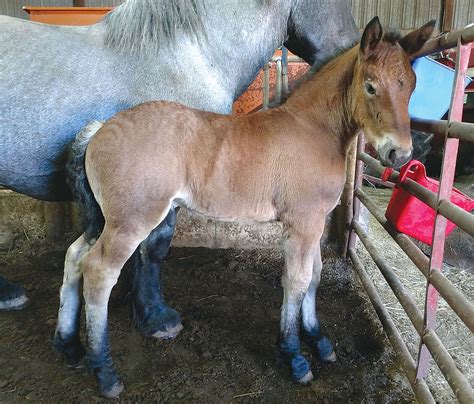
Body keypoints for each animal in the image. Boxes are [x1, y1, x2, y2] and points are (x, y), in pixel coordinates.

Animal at [55, 16, 434, 398]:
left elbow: (314, 277)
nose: (399, 153)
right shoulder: (302, 224)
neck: (312, 130)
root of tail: (100, 128)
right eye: (370, 86)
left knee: (75, 256)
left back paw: (69, 347)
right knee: (99, 272)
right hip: (130, 223)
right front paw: (294, 357)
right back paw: (106, 373)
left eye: (412, 85)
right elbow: (296, 281)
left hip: (105, 219)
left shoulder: (313, 223)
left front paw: (319, 340)